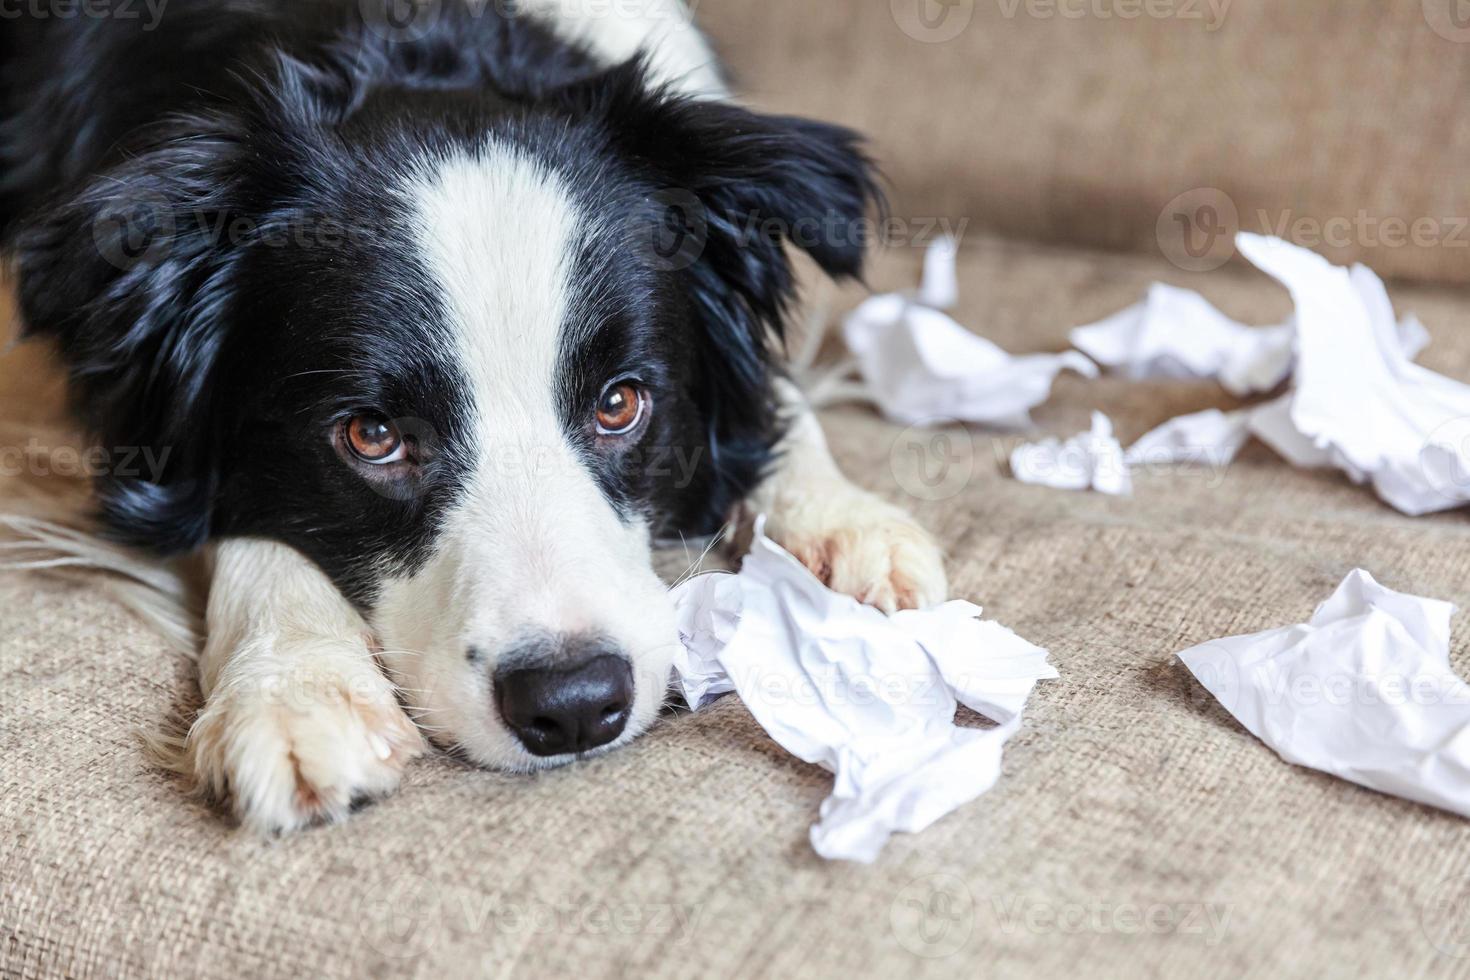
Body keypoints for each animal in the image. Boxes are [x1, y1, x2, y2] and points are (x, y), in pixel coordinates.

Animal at [0, 0, 946, 834]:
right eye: (372, 436)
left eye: (620, 403)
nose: (573, 705)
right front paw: (294, 692)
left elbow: (775, 398)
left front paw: (844, 523)